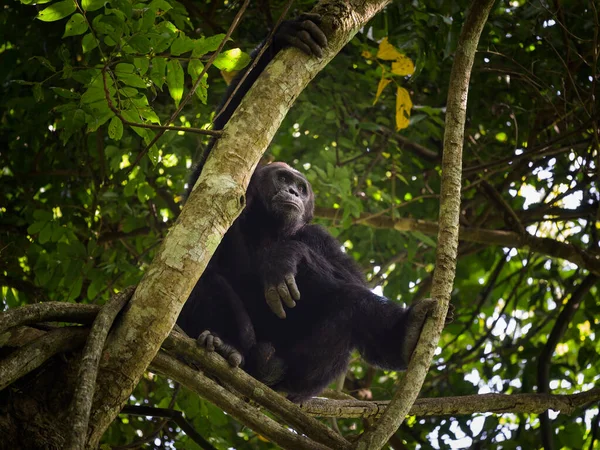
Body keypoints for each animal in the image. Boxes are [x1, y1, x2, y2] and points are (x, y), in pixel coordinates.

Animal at [176, 14, 438, 402]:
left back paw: (403, 337)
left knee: (350, 302)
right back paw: (225, 346)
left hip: (307, 377)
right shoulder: (216, 188)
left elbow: (349, 276)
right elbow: (226, 128)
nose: (292, 192)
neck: (267, 228)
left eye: (301, 188)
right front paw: (288, 34)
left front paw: (286, 257)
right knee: (202, 279)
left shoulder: (321, 236)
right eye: (283, 178)